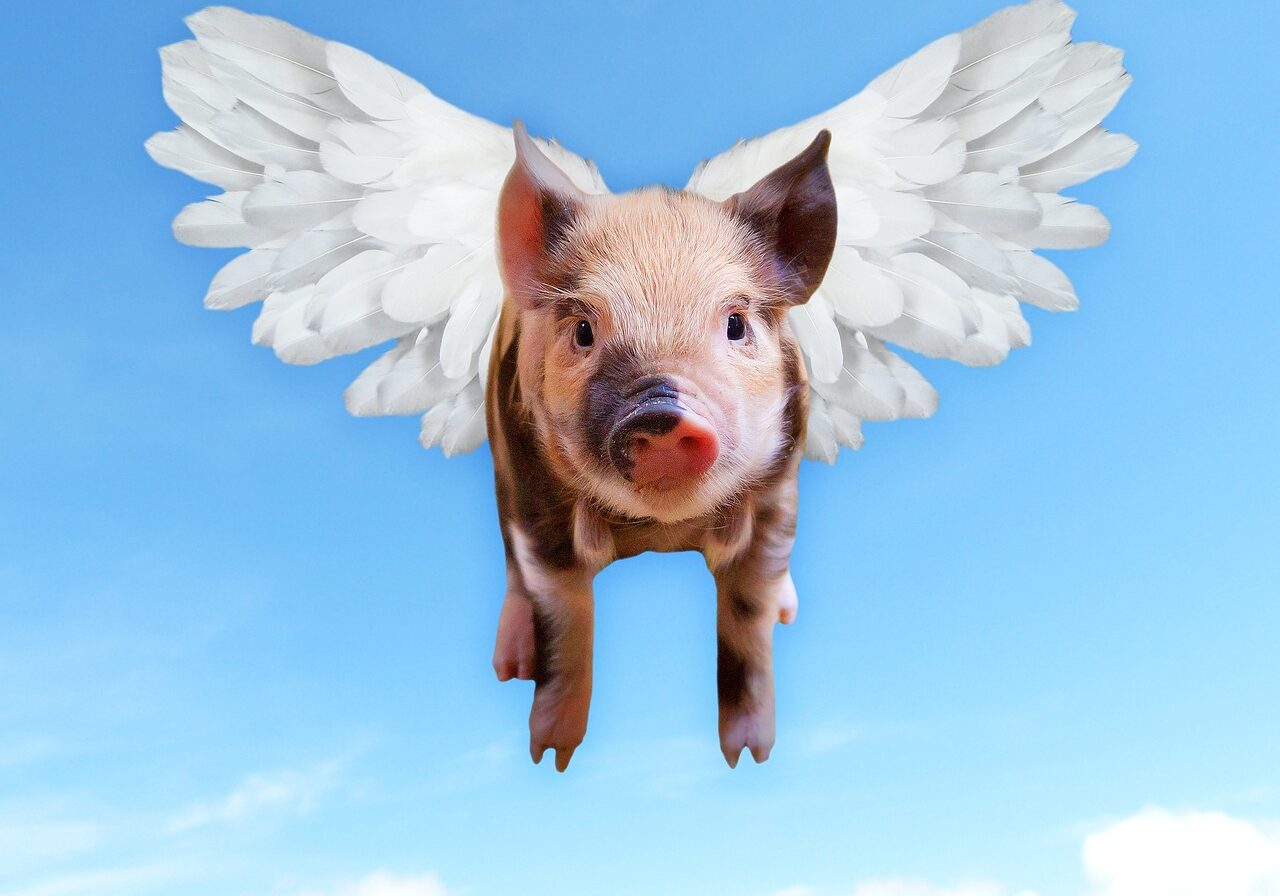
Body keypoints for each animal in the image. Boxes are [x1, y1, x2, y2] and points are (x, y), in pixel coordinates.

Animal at [484, 122, 838, 771]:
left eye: (736, 324)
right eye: (583, 330)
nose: (660, 412)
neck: (661, 531)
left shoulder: (779, 489)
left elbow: (748, 617)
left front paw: (749, 758)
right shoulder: (533, 491)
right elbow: (565, 621)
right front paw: (550, 758)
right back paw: (510, 666)